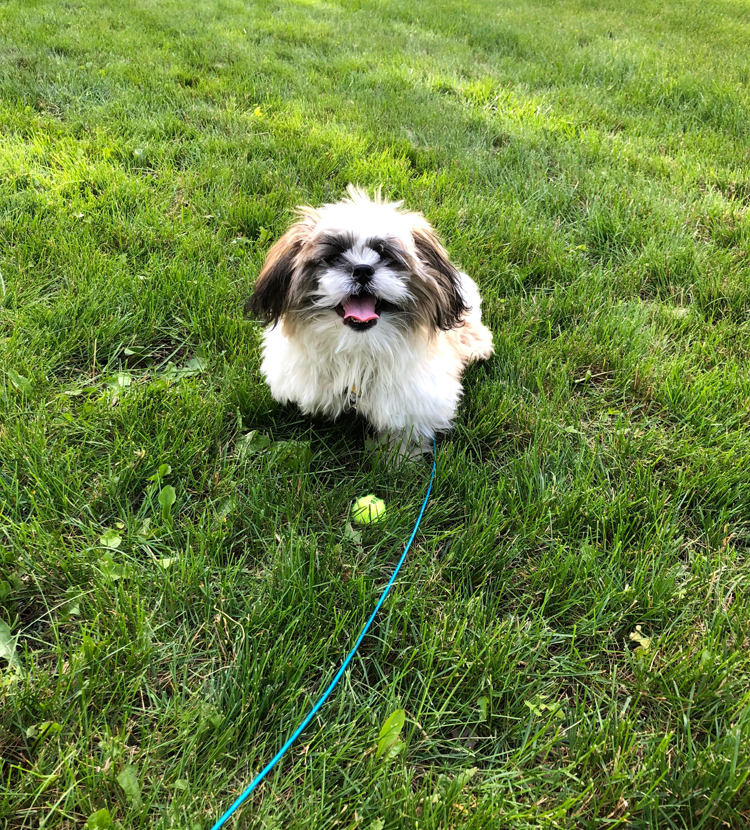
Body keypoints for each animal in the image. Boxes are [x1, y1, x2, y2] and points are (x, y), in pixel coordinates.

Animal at [245, 187, 494, 456]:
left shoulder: (416, 399)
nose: (362, 269)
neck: (358, 349)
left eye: (386, 256)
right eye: (334, 257)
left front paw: (397, 459)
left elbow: (405, 435)